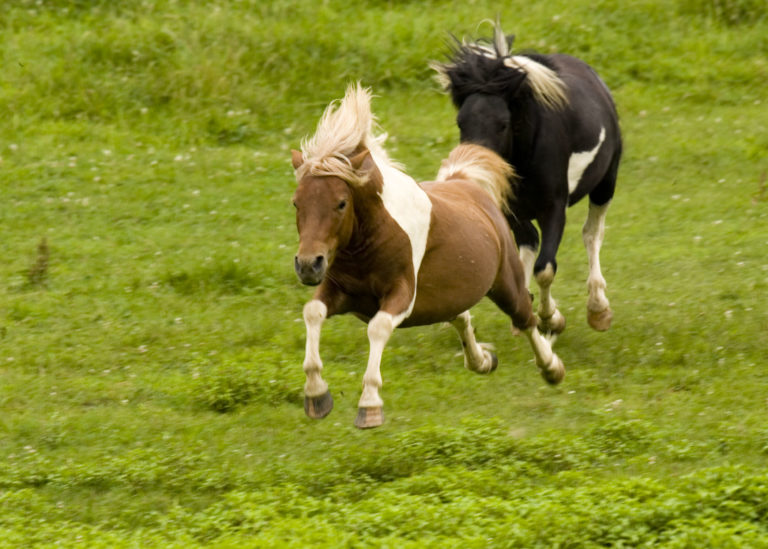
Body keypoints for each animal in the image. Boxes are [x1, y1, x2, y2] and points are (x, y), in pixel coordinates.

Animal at [291, 83, 564, 429]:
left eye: (341, 203)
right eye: (296, 202)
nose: (308, 264)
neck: (370, 240)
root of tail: (465, 181)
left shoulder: (401, 294)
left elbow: (377, 329)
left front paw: (370, 405)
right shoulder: (340, 291)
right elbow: (312, 312)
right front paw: (316, 395)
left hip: (506, 285)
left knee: (526, 318)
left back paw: (552, 368)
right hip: (450, 295)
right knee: (462, 317)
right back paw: (483, 360)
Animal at [433, 21, 622, 337]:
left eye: (503, 124)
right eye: (461, 122)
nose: (472, 166)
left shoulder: (554, 207)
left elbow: (545, 268)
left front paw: (550, 319)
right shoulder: (509, 208)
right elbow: (529, 253)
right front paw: (538, 314)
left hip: (605, 184)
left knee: (592, 234)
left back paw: (598, 309)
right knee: (532, 242)